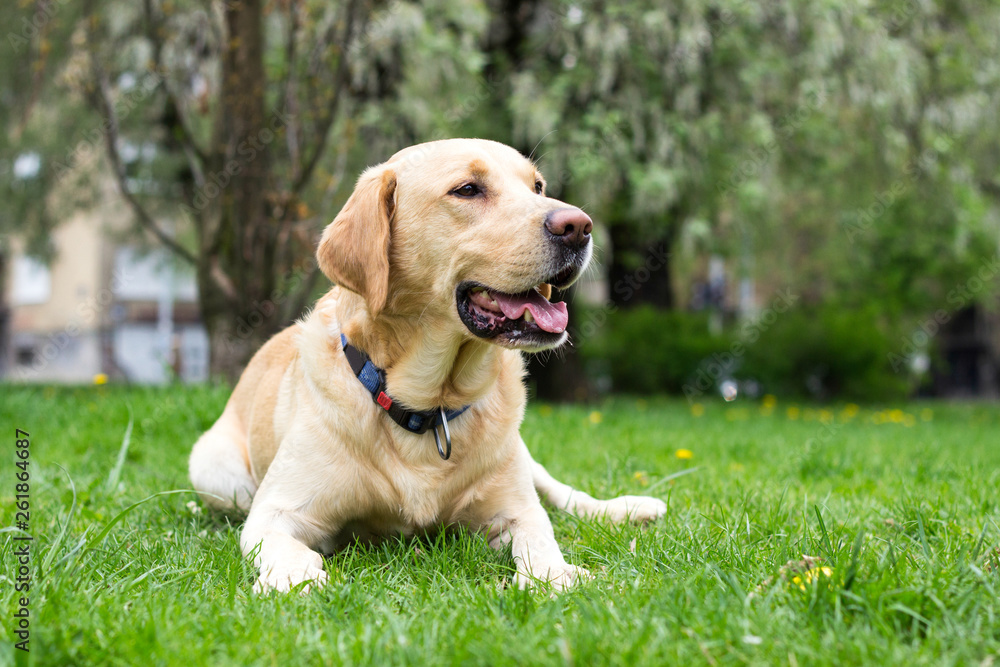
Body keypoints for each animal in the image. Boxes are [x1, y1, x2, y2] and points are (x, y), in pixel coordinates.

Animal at [191, 138, 668, 592]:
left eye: (537, 187)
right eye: (468, 190)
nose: (579, 226)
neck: (429, 406)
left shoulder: (515, 508)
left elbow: (540, 535)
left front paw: (557, 576)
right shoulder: (275, 511)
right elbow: (291, 550)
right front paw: (292, 580)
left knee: (561, 494)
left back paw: (629, 507)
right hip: (216, 473)